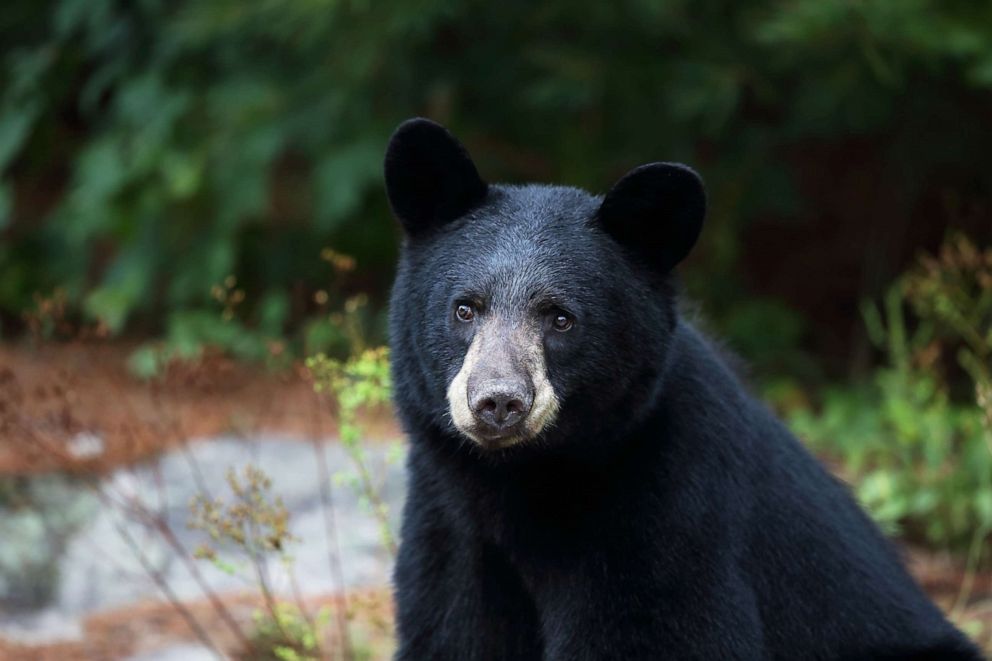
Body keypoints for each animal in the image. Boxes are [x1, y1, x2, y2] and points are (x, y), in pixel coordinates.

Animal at [384, 118, 980, 660]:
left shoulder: (670, 516)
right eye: (465, 308)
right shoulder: (450, 536)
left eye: (561, 319)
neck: (524, 483)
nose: (499, 402)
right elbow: (450, 632)